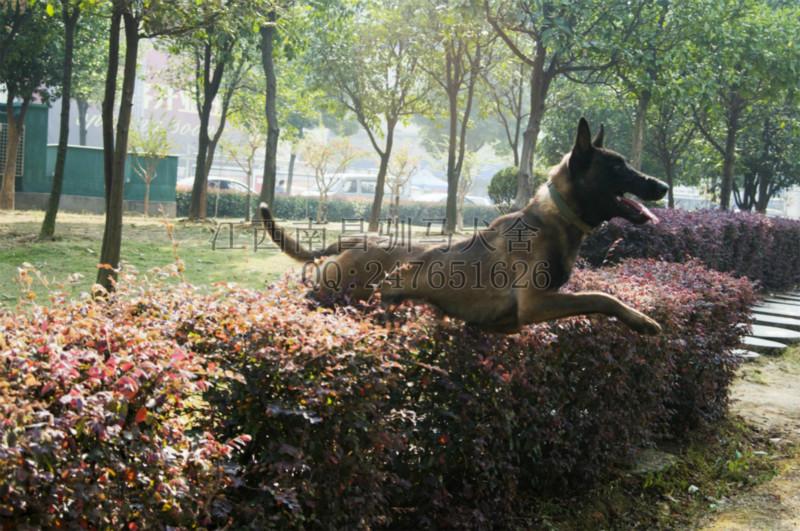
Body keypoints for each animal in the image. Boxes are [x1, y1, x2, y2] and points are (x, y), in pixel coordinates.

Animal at [260, 120, 664, 334]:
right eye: (618, 167)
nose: (661, 185)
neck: (555, 217)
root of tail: (356, 238)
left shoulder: (511, 321)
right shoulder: (535, 304)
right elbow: (600, 297)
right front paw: (641, 319)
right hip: (331, 298)